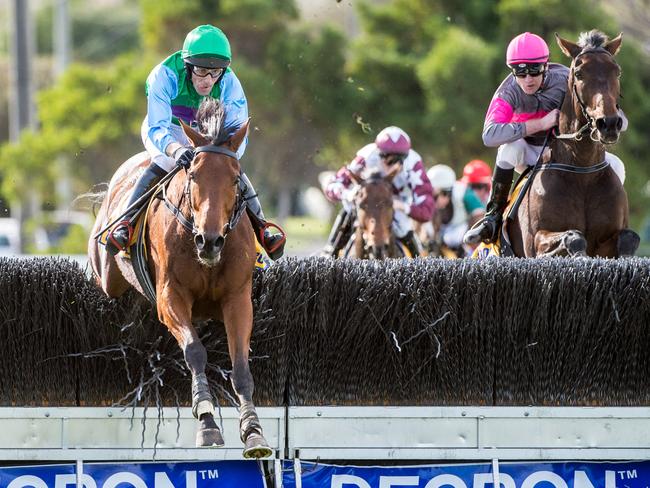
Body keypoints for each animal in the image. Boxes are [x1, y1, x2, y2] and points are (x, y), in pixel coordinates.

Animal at [87, 98, 270, 458]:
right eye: (194, 174)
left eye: (235, 179)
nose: (209, 240)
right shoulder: (170, 296)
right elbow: (195, 351)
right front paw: (207, 422)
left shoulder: (238, 298)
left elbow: (241, 366)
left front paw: (253, 431)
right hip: (106, 274)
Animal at [506, 31, 636, 258]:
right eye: (579, 73)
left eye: (617, 72)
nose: (609, 123)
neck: (582, 170)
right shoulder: (535, 239)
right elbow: (574, 237)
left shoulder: (608, 239)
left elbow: (629, 237)